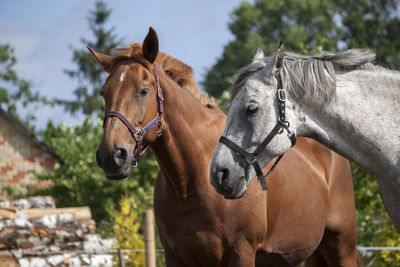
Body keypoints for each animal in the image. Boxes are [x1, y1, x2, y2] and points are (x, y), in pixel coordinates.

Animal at [93, 27, 360, 267]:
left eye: (143, 91)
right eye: (104, 93)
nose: (111, 156)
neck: (190, 183)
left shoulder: (241, 251)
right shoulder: (176, 257)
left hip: (341, 246)